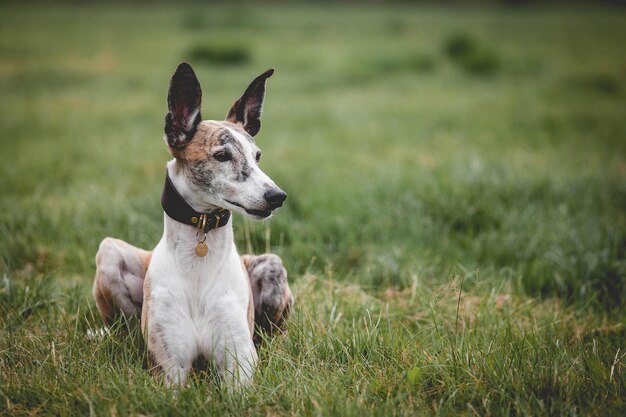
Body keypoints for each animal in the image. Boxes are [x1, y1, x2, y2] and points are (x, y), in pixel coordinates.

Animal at [92, 62, 292, 386]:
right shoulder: (169, 367)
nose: (277, 197)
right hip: (109, 252)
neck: (199, 263)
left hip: (272, 267)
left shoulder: (239, 362)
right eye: (222, 155)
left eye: (257, 156)